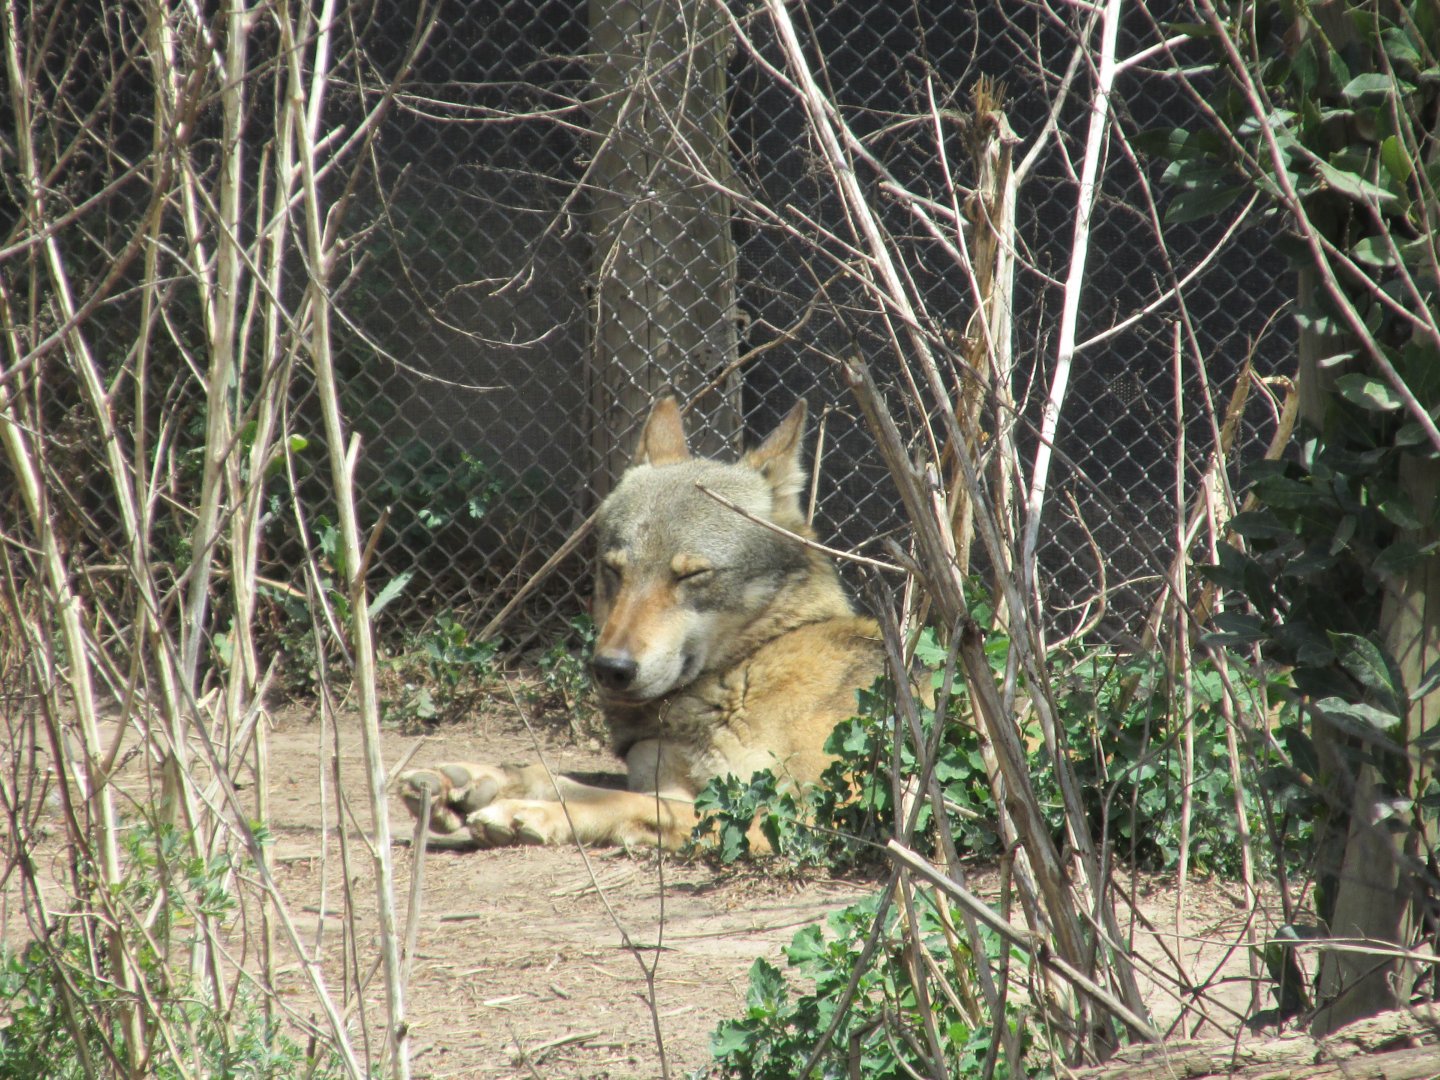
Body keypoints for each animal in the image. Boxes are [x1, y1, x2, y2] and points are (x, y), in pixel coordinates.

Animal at [397, 397, 883, 850]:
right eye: (614, 570)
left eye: (690, 574)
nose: (611, 669)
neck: (746, 669)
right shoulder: (670, 777)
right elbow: (561, 778)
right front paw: (471, 783)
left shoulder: (811, 816)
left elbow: (618, 800)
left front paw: (528, 812)